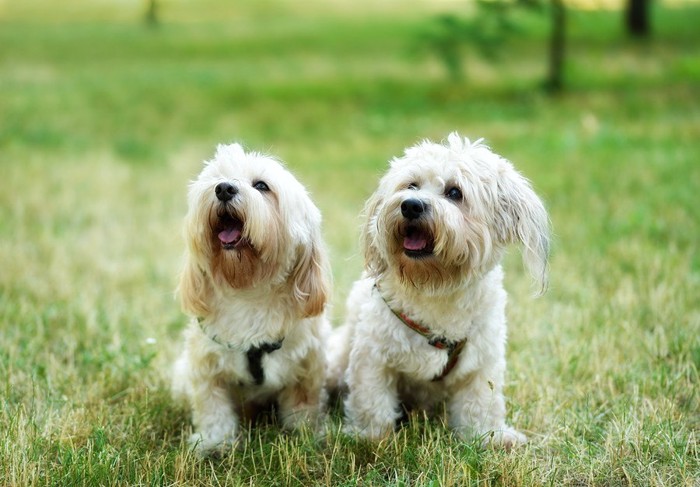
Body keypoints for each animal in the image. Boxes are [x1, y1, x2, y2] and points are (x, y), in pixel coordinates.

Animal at [172, 143, 330, 456]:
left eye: (261, 186)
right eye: (217, 179)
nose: (223, 188)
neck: (248, 292)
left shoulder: (307, 366)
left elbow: (303, 404)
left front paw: (307, 436)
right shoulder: (206, 368)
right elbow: (213, 407)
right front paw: (214, 442)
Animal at [326, 132, 548, 450]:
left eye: (455, 193)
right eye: (411, 185)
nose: (411, 205)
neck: (435, 286)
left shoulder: (482, 361)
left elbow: (480, 403)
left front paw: (488, 437)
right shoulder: (373, 356)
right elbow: (372, 401)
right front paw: (370, 438)